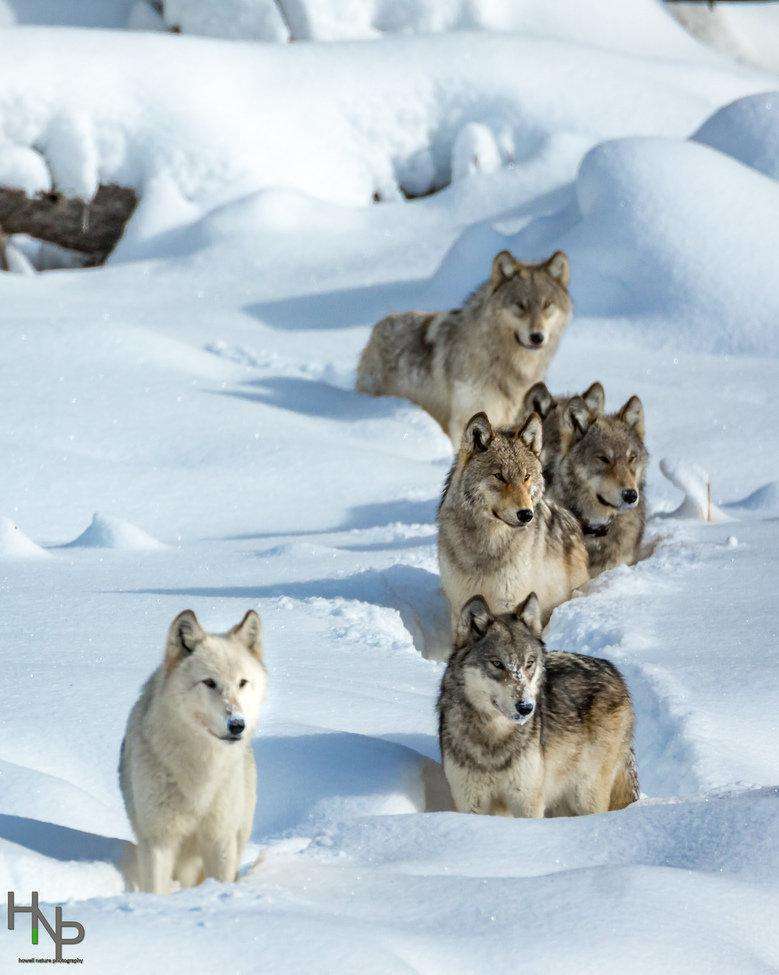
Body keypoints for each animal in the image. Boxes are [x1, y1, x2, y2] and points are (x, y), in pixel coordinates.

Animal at [119, 612, 268, 896]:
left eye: (242, 683)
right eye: (209, 683)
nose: (237, 725)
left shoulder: (220, 839)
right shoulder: (158, 840)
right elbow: (155, 888)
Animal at [436, 408, 588, 628]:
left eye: (526, 477)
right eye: (500, 476)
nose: (526, 514)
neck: (486, 546)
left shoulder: (509, 603)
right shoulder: (459, 605)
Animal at [438, 596, 640, 816]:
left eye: (529, 663)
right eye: (497, 663)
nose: (526, 707)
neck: (493, 739)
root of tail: (613, 670)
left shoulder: (527, 802)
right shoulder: (470, 803)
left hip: (586, 797)